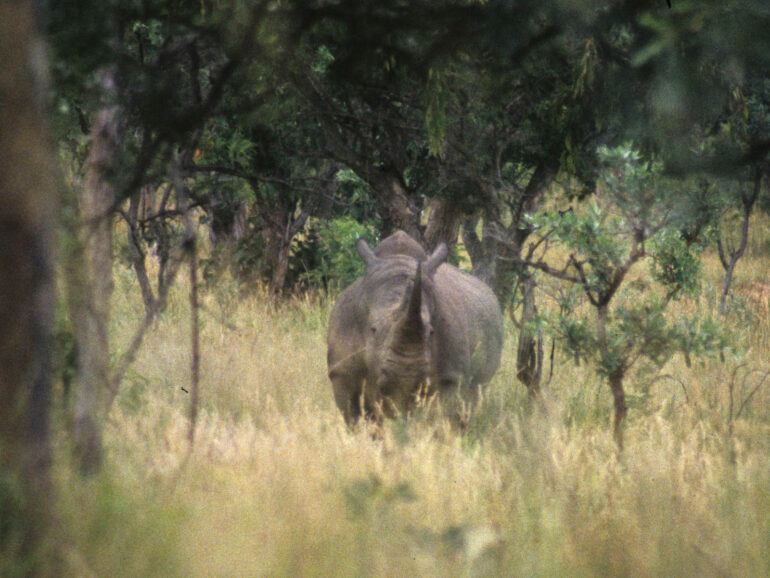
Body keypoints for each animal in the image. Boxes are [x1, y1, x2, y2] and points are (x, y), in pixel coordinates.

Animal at [327, 231, 504, 427]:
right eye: (373, 329)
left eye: (431, 332)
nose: (405, 375)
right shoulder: (341, 371)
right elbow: (355, 417)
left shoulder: (451, 377)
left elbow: (440, 420)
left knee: (472, 397)